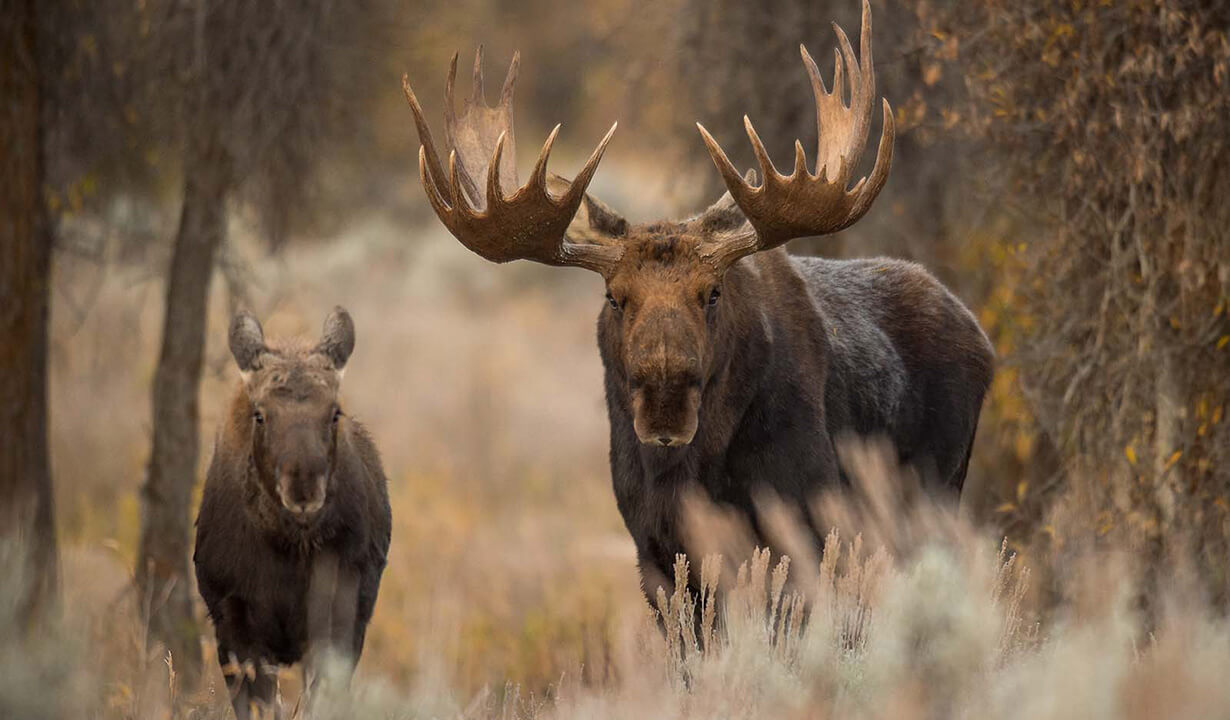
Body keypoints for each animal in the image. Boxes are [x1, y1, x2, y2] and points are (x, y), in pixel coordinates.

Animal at [193, 308, 392, 720]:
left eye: (334, 413)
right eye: (260, 414)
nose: (303, 488)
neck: (289, 545)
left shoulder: (338, 618)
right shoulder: (234, 623)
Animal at [401, 0, 993, 607]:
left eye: (712, 292)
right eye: (614, 297)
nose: (666, 400)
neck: (689, 473)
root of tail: (980, 336)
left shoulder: (805, 518)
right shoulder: (655, 551)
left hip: (935, 494)